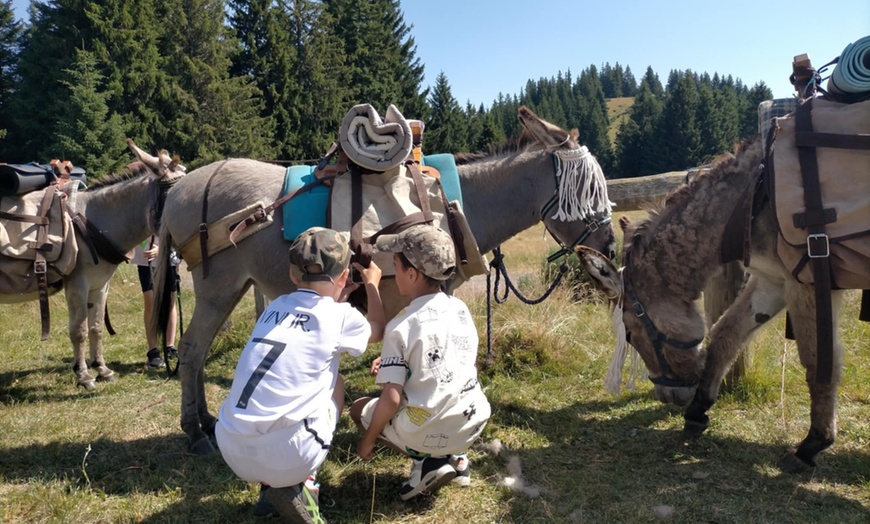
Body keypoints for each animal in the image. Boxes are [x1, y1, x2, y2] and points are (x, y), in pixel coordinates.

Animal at [0, 140, 186, 390]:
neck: (91, 224)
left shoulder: (99, 286)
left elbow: (96, 327)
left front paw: (102, 369)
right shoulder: (78, 286)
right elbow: (78, 330)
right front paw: (83, 375)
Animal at [151, 105, 618, 454]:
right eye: (590, 191)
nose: (610, 248)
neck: (456, 206)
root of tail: (181, 190)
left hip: (233, 288)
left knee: (199, 352)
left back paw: (205, 421)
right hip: (218, 287)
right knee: (191, 350)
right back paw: (195, 432)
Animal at [576, 132, 868, 472]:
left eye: (632, 336)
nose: (667, 398)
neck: (753, 195)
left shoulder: (807, 283)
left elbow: (818, 362)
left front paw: (813, 443)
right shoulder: (773, 281)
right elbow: (725, 337)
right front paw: (698, 411)